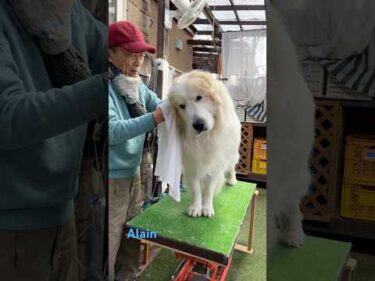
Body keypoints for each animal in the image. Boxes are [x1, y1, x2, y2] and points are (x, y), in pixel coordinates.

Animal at [169, 70, 242, 217]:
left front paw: (207, 208)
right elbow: (196, 189)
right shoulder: (191, 165)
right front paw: (196, 207)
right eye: (182, 106)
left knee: (232, 167)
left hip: (231, 154)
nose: (198, 125)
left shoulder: (216, 165)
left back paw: (232, 179)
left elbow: (208, 189)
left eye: (199, 97)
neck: (204, 138)